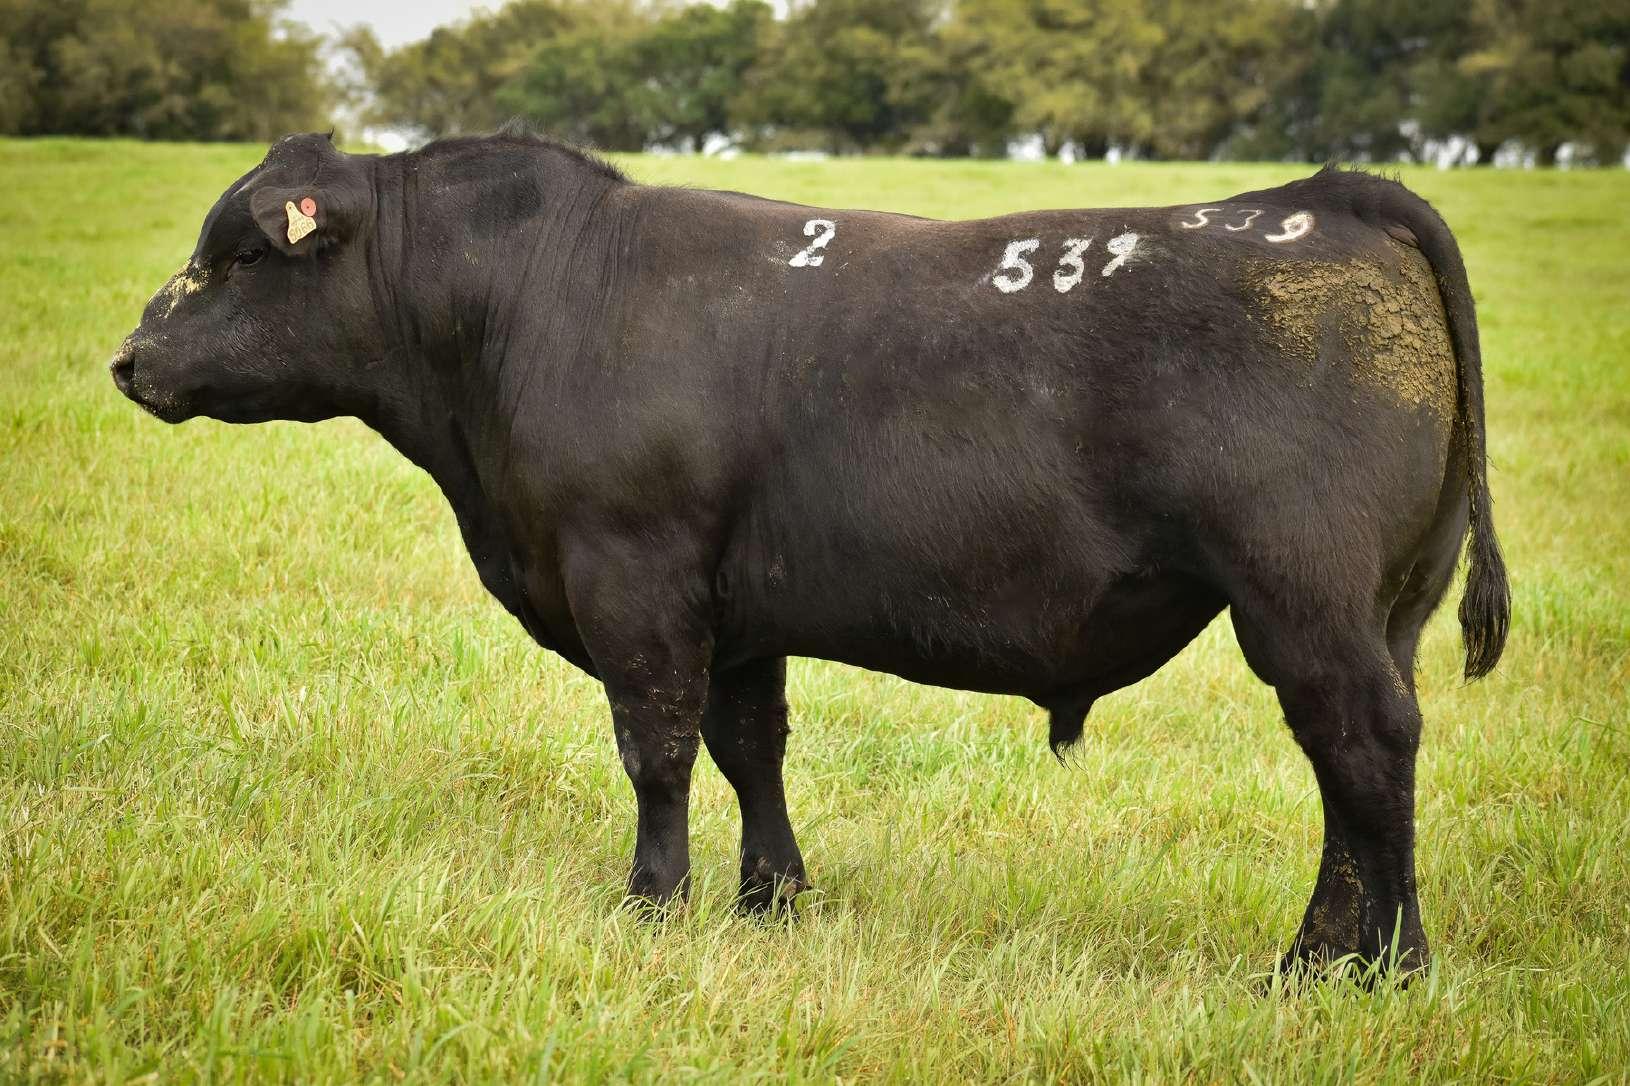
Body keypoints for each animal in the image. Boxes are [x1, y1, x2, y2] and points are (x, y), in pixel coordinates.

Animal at [111, 131, 1508, 977]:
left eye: (238, 254)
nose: (128, 359)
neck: (536, 302)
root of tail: (1322, 195)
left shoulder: (635, 580)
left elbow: (658, 750)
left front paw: (653, 903)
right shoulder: (737, 611)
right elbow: (749, 748)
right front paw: (770, 900)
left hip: (1302, 599)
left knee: (1364, 752)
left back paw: (1369, 969)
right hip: (1385, 606)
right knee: (1357, 769)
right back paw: (1336, 953)